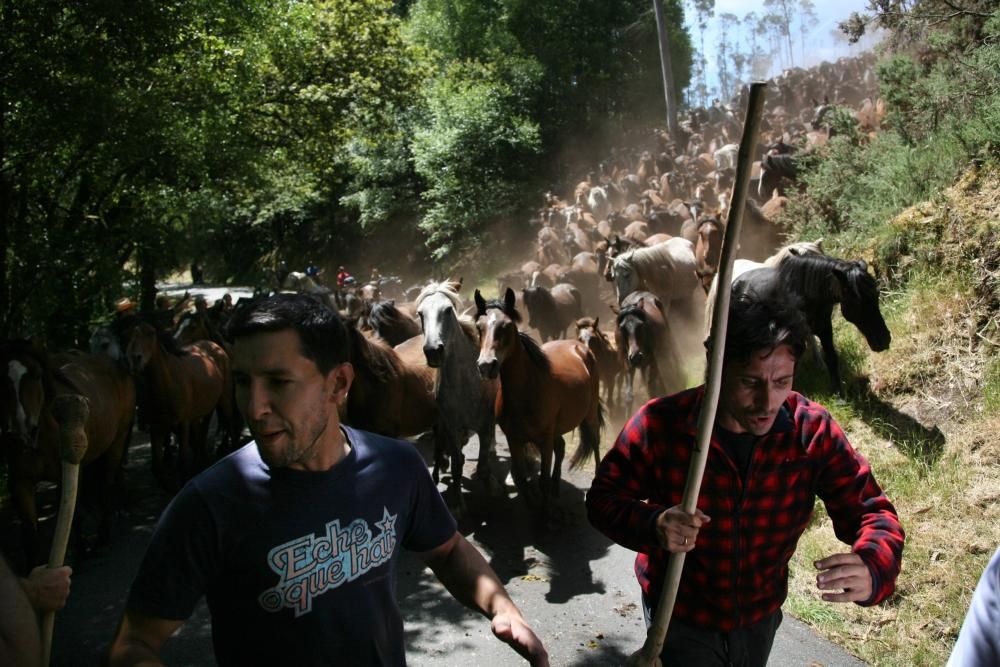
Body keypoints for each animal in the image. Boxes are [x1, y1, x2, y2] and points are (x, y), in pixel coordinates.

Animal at [0, 342, 136, 568]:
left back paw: (102, 539)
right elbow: (30, 533)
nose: (24, 431)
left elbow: (74, 515)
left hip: (117, 442)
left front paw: (80, 554)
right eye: (1, 380)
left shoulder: (68, 473)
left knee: (106, 486)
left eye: (37, 374)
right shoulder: (21, 483)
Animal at [124, 320, 233, 488]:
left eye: (151, 334)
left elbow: (182, 460)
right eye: (130, 336)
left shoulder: (183, 423)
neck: (167, 384)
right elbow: (156, 467)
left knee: (230, 425)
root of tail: (214, 346)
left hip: (225, 400)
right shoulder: (157, 427)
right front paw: (171, 484)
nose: (135, 359)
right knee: (201, 434)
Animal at [416, 282, 500, 516]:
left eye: (447, 310)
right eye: (420, 314)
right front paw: (457, 504)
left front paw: (491, 487)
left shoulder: (485, 424)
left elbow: (483, 466)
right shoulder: (452, 427)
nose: (433, 351)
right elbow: (456, 466)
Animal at [470, 288, 600, 516]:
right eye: (479, 327)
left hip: (590, 415)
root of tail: (579, 346)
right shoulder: (514, 440)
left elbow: (542, 481)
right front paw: (534, 509)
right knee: (562, 447)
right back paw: (557, 487)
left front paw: (545, 515)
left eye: (506, 326)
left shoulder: (544, 440)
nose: (486, 366)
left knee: (595, 443)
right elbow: (521, 479)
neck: (526, 393)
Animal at [736, 254, 892, 392]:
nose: (884, 340)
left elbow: (831, 357)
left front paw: (839, 394)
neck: (801, 295)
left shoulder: (825, 328)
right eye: (857, 301)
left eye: (876, 294)